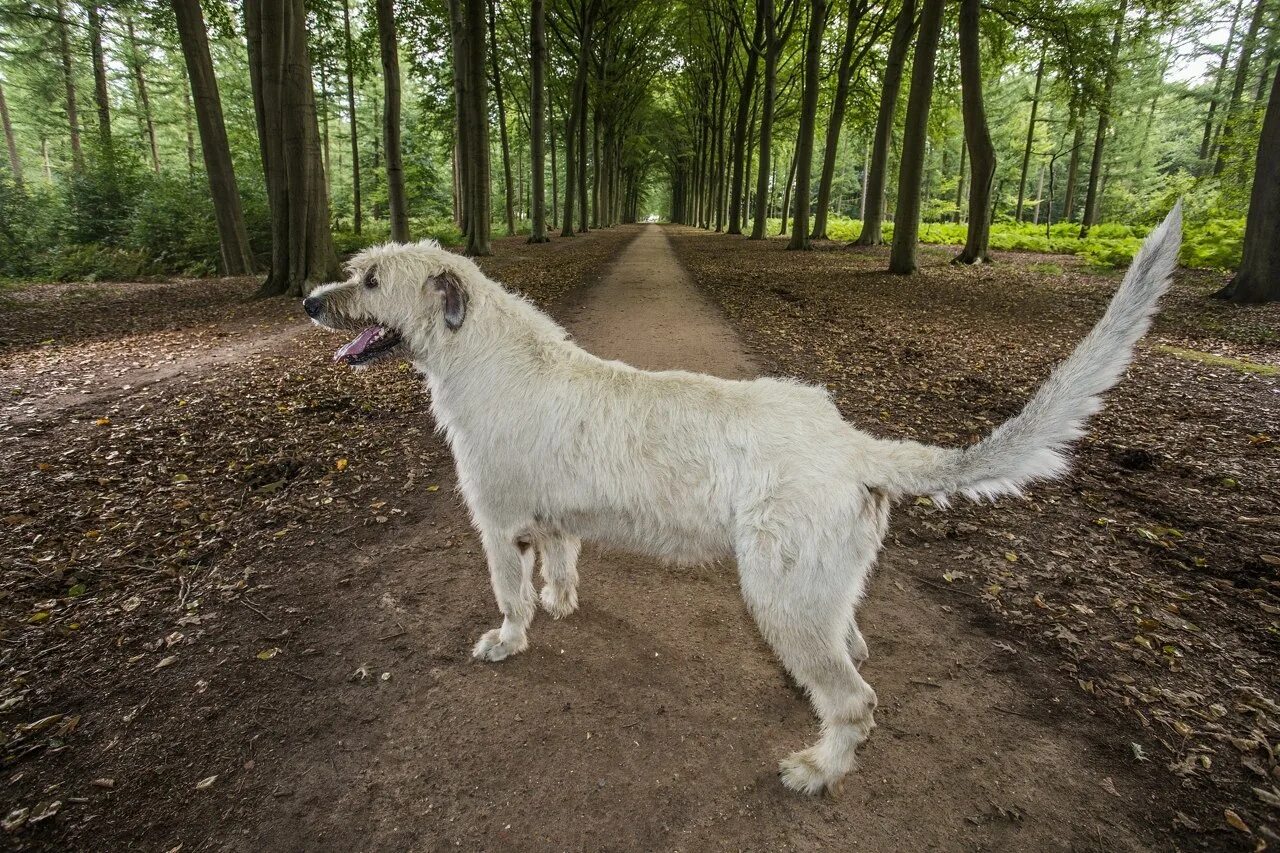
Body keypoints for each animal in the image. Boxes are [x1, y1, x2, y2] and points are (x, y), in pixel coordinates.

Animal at [299, 202, 1177, 794]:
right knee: (852, 649)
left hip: (781, 590)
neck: (480, 352)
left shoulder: (496, 521)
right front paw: (562, 600)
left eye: (370, 279)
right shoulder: (552, 518)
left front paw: (509, 638)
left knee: (856, 697)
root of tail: (853, 443)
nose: (309, 299)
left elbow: (509, 592)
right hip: (819, 586)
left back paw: (819, 768)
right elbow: (562, 561)